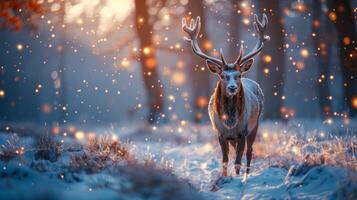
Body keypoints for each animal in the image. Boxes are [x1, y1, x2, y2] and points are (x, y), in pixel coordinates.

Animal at [182, 14, 268, 176]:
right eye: (222, 75)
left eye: (238, 75)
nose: (232, 87)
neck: (230, 123)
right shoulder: (220, 134)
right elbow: (225, 160)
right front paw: (224, 176)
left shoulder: (243, 132)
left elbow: (238, 161)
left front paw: (236, 177)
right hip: (234, 138)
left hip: (255, 125)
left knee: (249, 152)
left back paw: (247, 175)